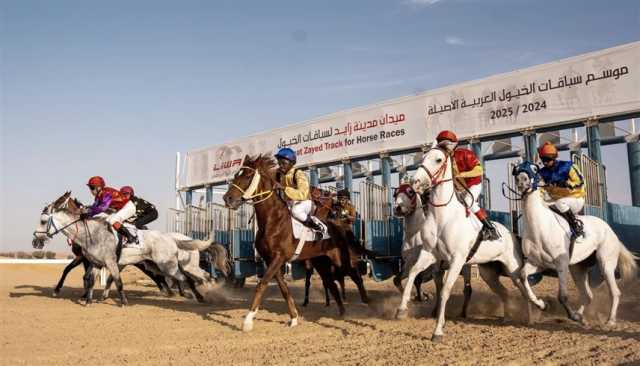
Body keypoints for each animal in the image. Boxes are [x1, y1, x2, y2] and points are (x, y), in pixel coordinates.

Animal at [222, 154, 368, 332]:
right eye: (237, 174)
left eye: (248, 176)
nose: (227, 198)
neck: (272, 220)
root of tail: (341, 225)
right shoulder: (271, 260)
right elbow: (284, 289)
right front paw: (293, 318)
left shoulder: (278, 257)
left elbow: (261, 284)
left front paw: (248, 321)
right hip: (321, 262)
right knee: (332, 284)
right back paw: (342, 313)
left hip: (341, 259)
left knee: (356, 276)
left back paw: (367, 304)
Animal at [410, 147, 528, 344]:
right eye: (423, 157)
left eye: (438, 159)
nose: (415, 182)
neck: (442, 216)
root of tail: (510, 233)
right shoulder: (432, 256)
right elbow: (418, 276)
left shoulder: (457, 260)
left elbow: (445, 290)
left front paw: (438, 330)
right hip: (488, 272)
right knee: (505, 292)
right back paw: (507, 317)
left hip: (512, 268)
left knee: (523, 288)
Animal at [512, 162, 636, 324]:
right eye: (517, 169)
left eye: (534, 169)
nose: (521, 180)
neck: (539, 226)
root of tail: (609, 229)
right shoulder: (537, 263)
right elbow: (523, 277)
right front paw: (542, 305)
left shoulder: (561, 264)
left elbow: (562, 296)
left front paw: (571, 315)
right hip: (578, 268)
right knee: (588, 295)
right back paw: (581, 316)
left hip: (605, 264)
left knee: (614, 292)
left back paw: (610, 320)